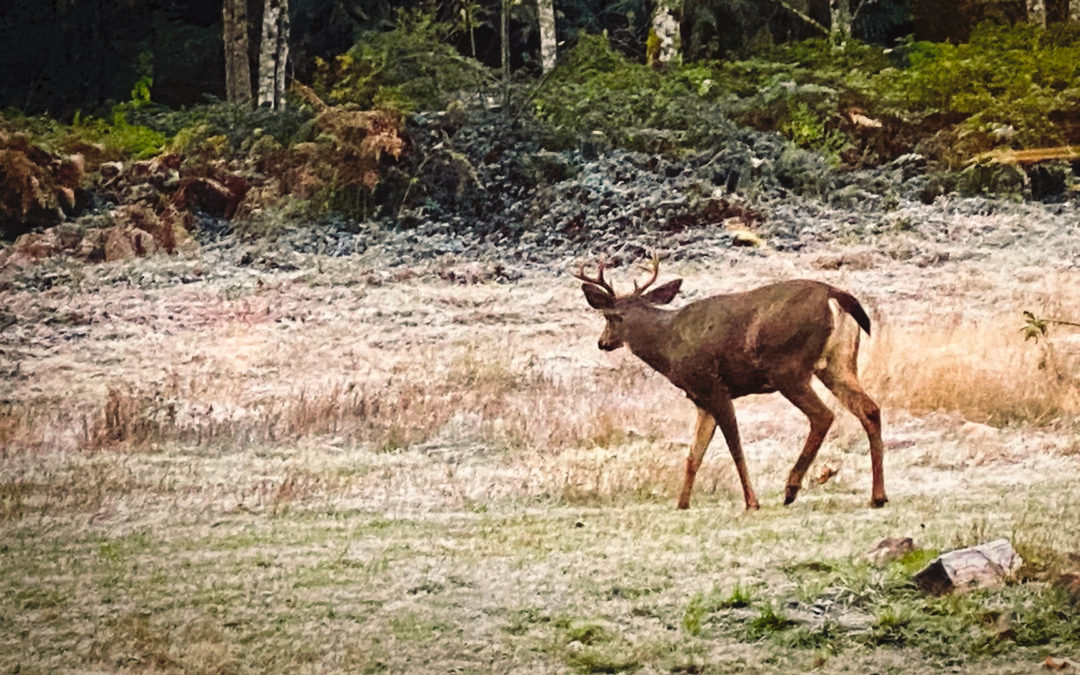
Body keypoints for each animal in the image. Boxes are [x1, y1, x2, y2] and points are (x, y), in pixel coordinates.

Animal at [574, 254, 885, 507]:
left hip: (788, 367)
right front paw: (682, 505)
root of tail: (835, 294)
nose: (602, 342)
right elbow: (693, 456)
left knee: (823, 415)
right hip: (838, 363)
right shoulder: (700, 399)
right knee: (869, 409)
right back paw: (878, 496)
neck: (668, 345)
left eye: (610, 316)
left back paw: (791, 488)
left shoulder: (713, 386)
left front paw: (752, 502)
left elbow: (735, 447)